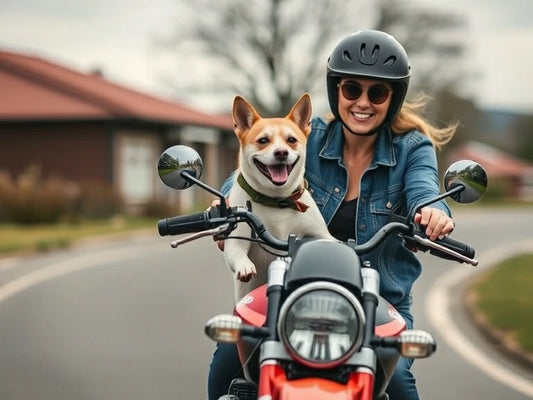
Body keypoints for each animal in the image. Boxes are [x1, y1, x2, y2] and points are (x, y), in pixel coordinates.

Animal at [223, 92, 332, 302]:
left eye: (291, 140)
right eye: (263, 140)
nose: (281, 152)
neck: (276, 200)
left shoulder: (321, 234)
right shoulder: (236, 241)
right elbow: (237, 252)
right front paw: (244, 266)